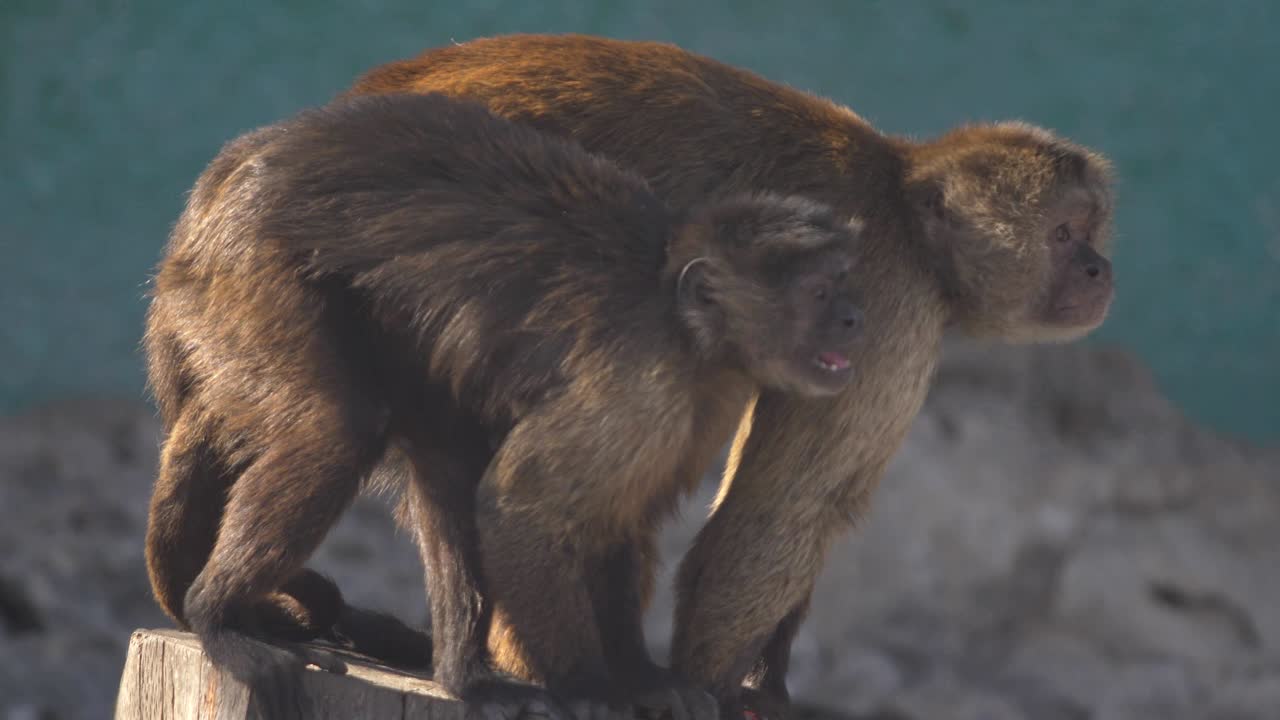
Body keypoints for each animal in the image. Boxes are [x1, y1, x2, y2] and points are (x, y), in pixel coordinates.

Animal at [142, 91, 866, 720]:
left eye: (844, 285)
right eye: (821, 292)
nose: (855, 318)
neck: (687, 326)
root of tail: (209, 198)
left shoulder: (707, 394)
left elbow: (612, 519)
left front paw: (641, 679)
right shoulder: (641, 378)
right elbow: (521, 511)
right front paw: (590, 688)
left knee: (445, 457)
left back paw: (465, 680)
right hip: (250, 268)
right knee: (340, 432)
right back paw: (217, 617)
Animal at [335, 34, 1116, 719]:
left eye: (1089, 233)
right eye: (1064, 235)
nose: (1098, 269)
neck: (906, 211)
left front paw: (761, 684)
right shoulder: (889, 302)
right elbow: (781, 510)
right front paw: (709, 686)